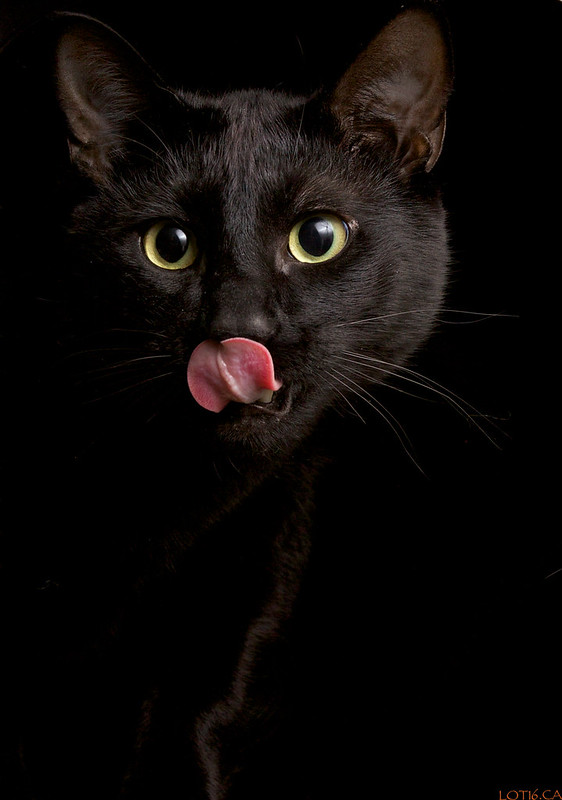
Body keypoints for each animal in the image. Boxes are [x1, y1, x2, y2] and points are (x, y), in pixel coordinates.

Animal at [0, 6, 453, 798]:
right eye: (169, 245)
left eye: (317, 237)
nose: (239, 330)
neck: (170, 496)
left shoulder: (256, 556)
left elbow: (199, 706)